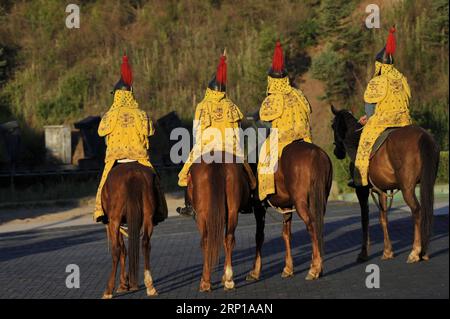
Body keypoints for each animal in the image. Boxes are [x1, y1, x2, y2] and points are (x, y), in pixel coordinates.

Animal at [101, 162, 166, 300]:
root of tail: (133, 174)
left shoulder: (115, 223)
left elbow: (122, 250)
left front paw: (123, 284)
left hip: (114, 219)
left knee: (116, 250)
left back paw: (108, 290)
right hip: (148, 216)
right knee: (145, 243)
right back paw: (150, 286)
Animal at [185, 152, 255, 292]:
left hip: (201, 216)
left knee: (206, 241)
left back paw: (206, 281)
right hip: (232, 211)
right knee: (229, 239)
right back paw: (228, 279)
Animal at [244, 140, 332, 282]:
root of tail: (316, 154)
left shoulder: (259, 206)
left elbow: (259, 236)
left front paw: (255, 271)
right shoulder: (286, 207)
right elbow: (286, 234)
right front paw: (288, 268)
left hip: (301, 203)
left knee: (312, 226)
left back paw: (314, 268)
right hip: (320, 200)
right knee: (318, 227)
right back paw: (317, 266)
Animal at [330, 106, 440, 264]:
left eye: (332, 126)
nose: (336, 152)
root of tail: (423, 136)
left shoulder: (361, 191)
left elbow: (365, 220)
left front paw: (363, 253)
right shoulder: (381, 190)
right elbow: (383, 219)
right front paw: (388, 252)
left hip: (407, 188)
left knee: (417, 211)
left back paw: (415, 252)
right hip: (428, 182)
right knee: (426, 210)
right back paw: (423, 252)